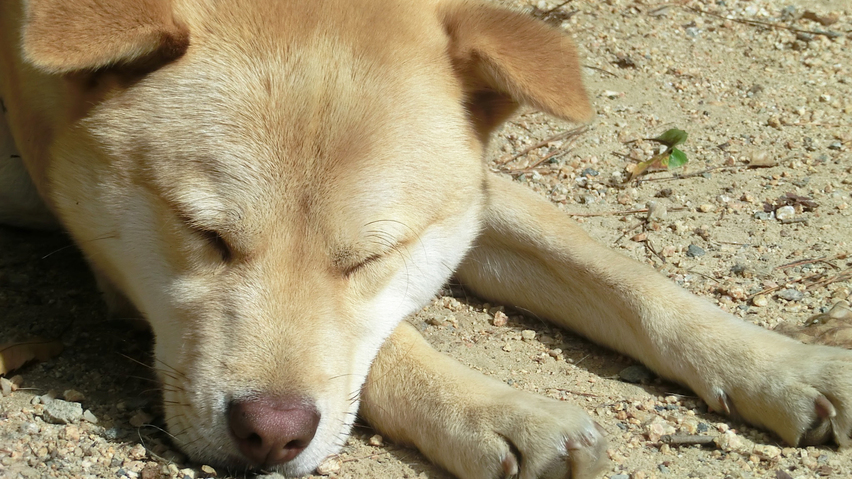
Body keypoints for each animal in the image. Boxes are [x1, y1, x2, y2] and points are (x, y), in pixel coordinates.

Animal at [1, 0, 852, 479]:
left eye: (371, 257)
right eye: (204, 234)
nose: (269, 437)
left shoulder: (469, 192)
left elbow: (619, 273)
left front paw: (779, 363)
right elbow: (388, 342)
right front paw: (497, 410)